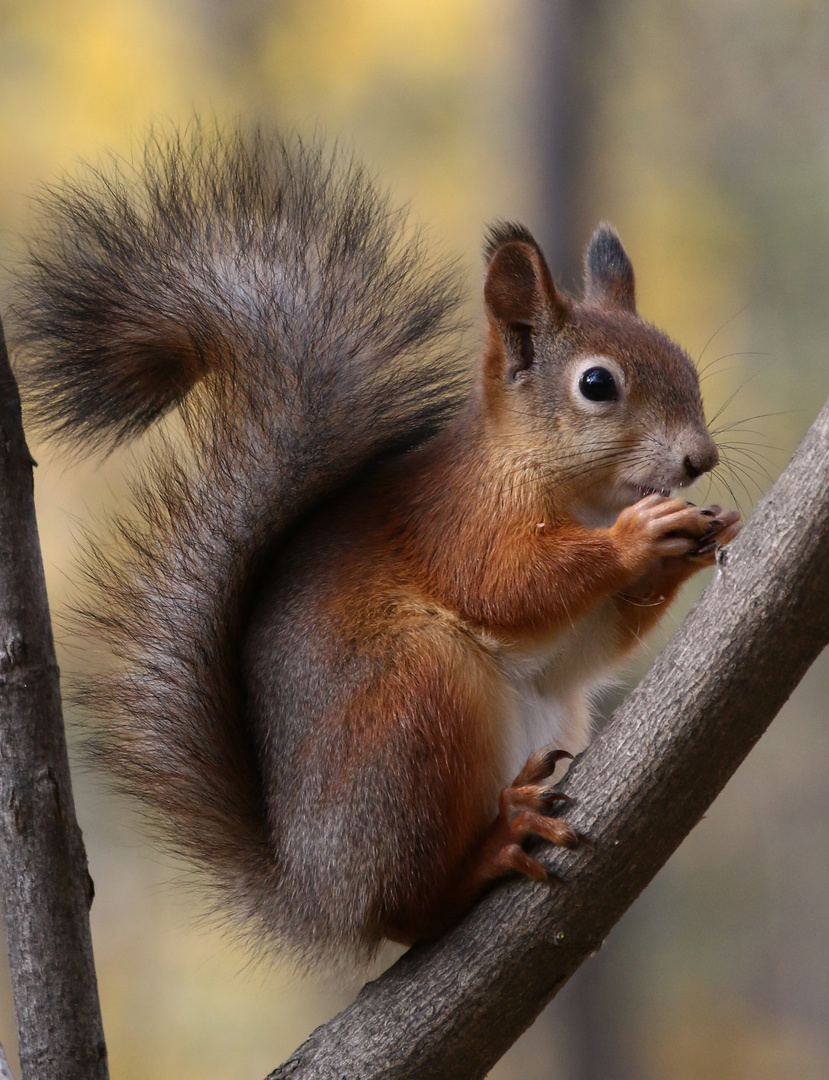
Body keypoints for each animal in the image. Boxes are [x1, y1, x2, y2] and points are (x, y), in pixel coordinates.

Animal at [12, 124, 742, 963]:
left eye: (684, 363)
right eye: (597, 385)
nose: (698, 458)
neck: (564, 488)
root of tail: (313, 891)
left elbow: (589, 647)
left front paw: (702, 534)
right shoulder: (459, 523)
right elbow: (507, 585)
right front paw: (640, 536)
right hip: (413, 704)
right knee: (406, 909)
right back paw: (492, 846)